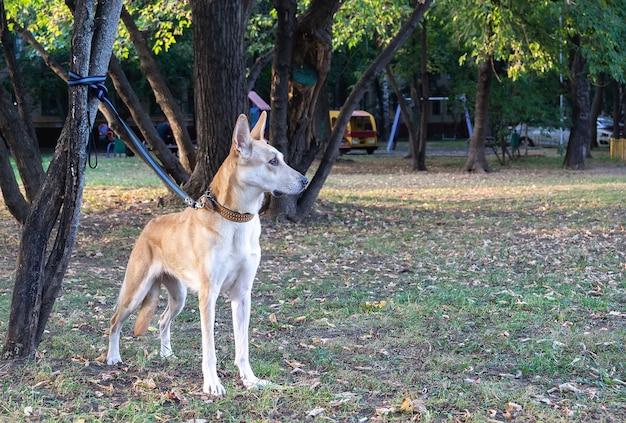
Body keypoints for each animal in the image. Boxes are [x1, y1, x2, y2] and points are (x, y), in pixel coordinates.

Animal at [105, 111, 308, 396]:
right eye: (272, 161)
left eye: (281, 158)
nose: (305, 181)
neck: (237, 221)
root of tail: (149, 225)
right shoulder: (208, 295)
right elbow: (209, 349)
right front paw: (212, 383)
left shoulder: (242, 295)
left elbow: (243, 347)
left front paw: (250, 380)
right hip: (135, 293)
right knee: (114, 322)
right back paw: (113, 357)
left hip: (178, 298)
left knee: (163, 321)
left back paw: (166, 354)